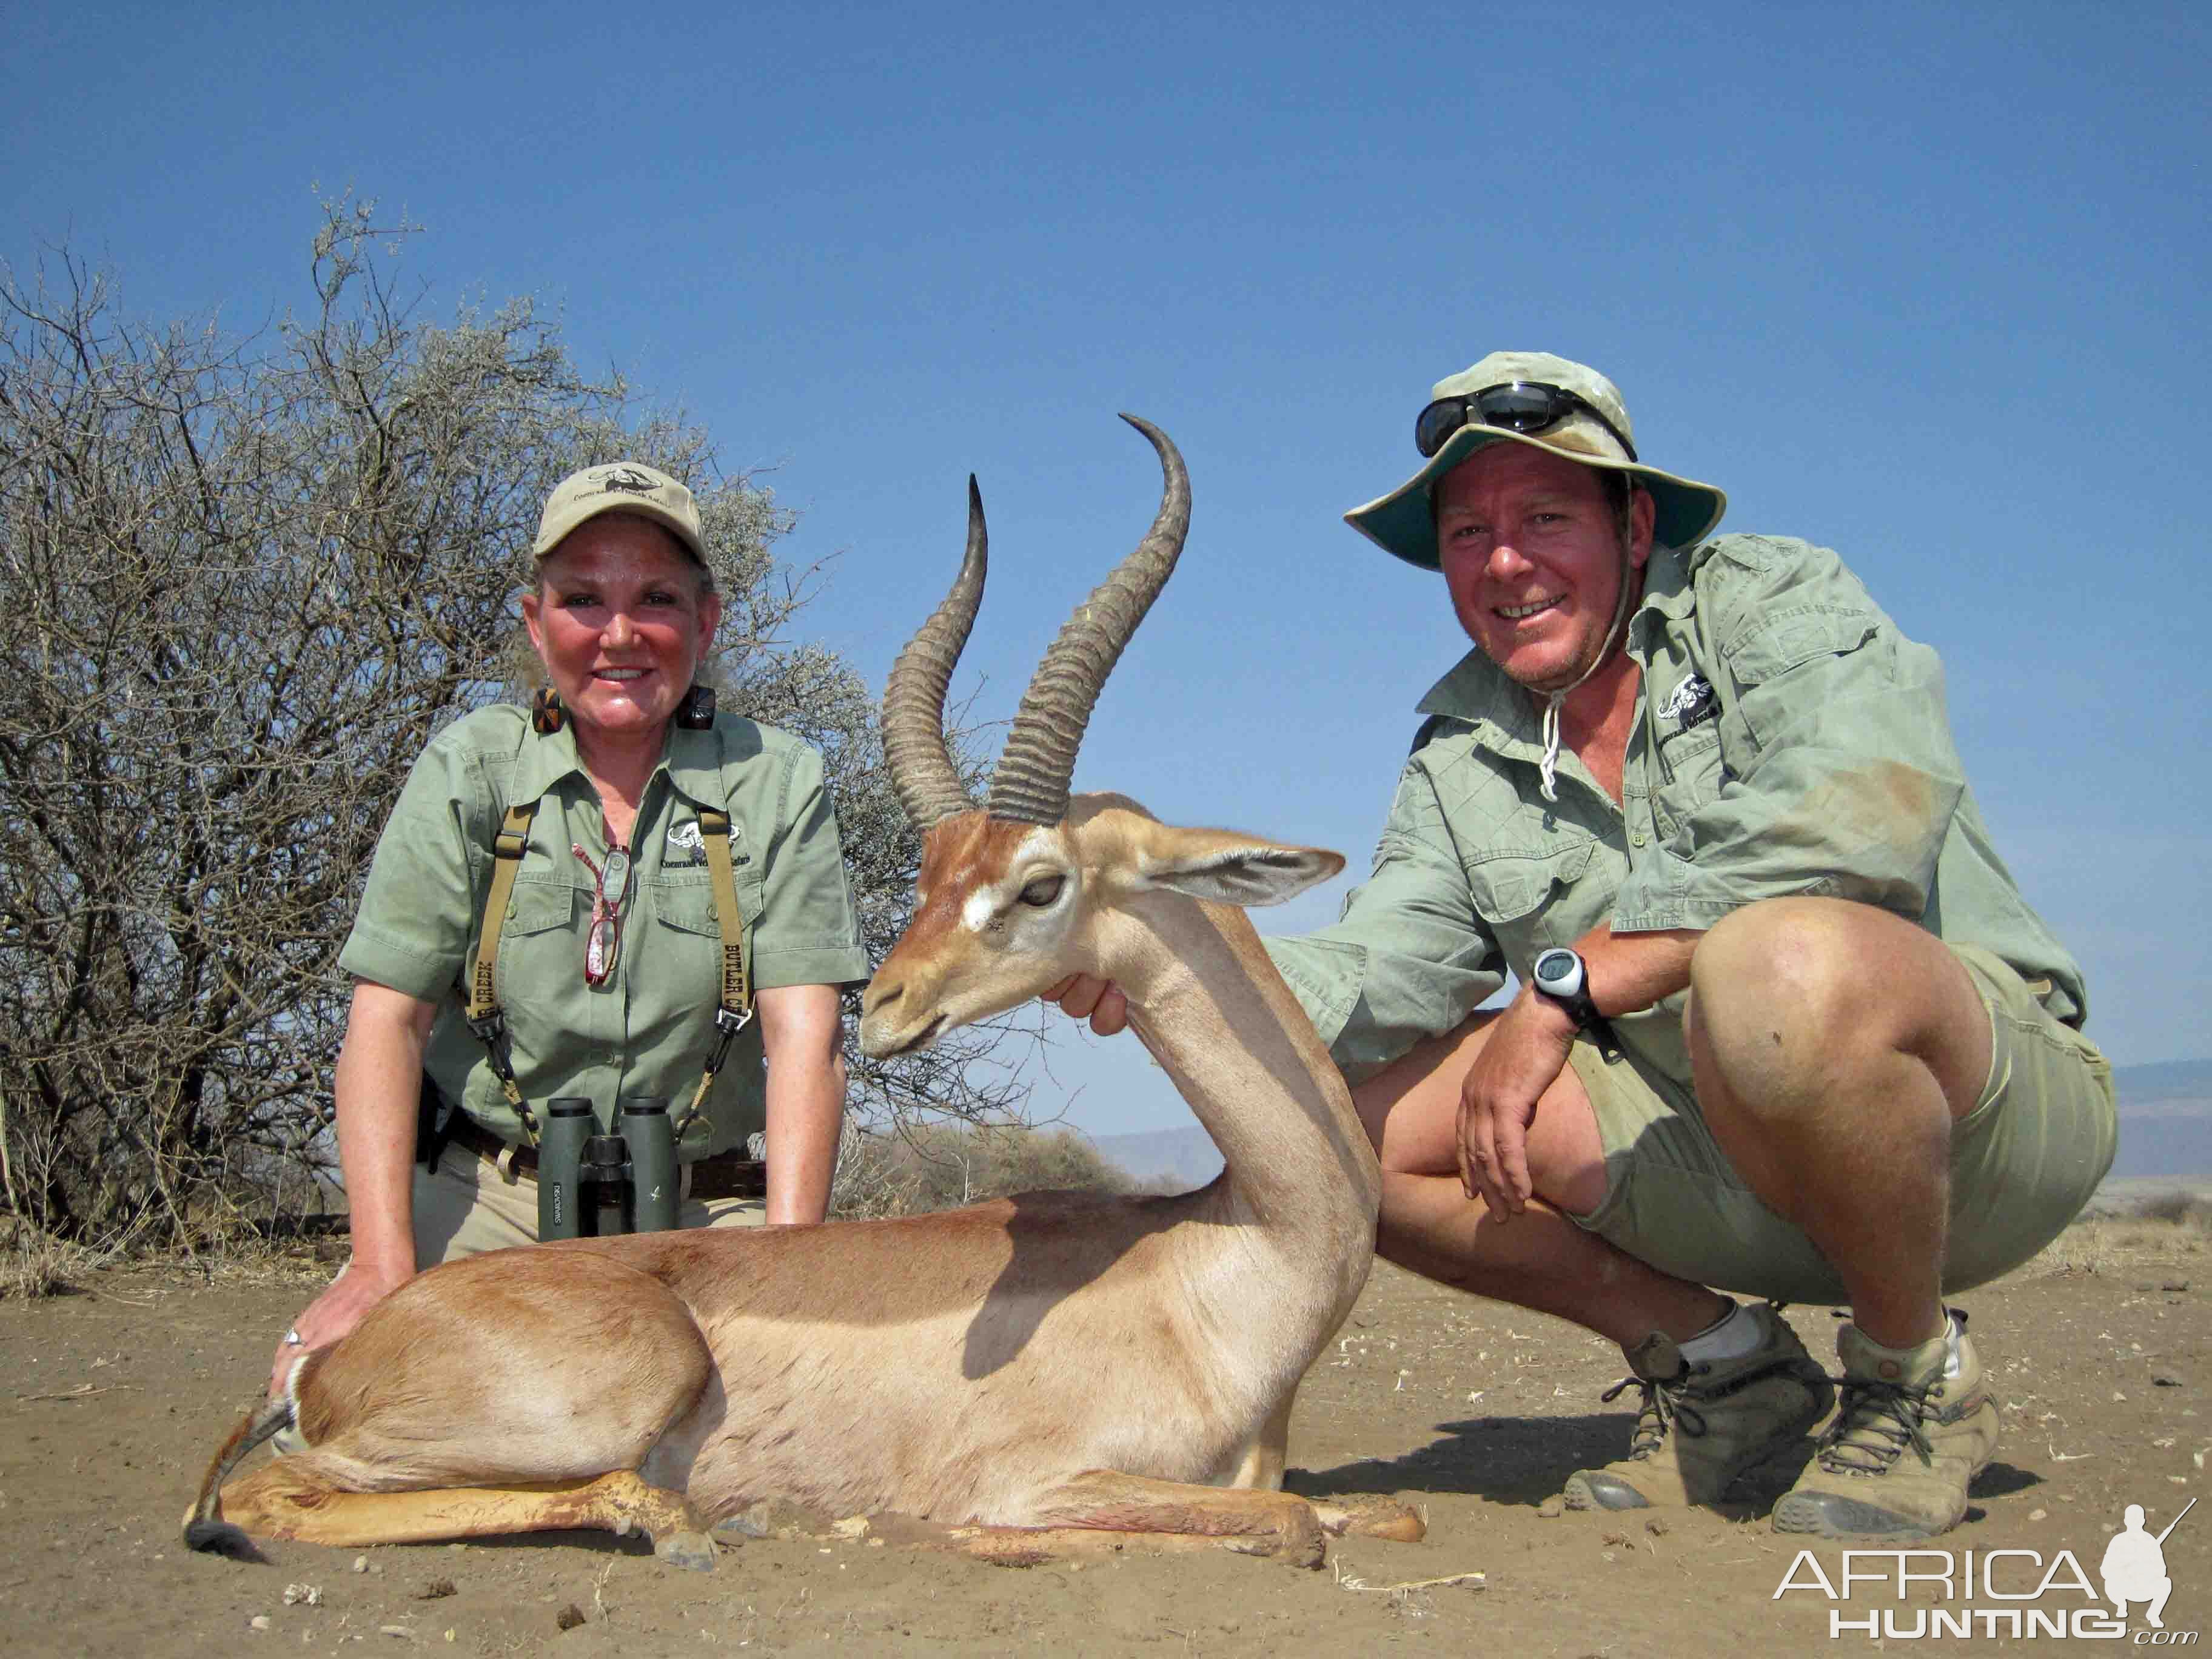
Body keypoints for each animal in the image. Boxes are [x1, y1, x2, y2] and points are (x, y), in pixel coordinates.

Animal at [176, 415, 1415, 1575]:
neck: (1220, 1261)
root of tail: (333, 1360)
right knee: (274, 1495)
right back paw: (692, 1522)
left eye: (1036, 882)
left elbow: (1371, 1511)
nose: (890, 1008)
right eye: (930, 873)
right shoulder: (1027, 1487)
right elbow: (1284, 1524)